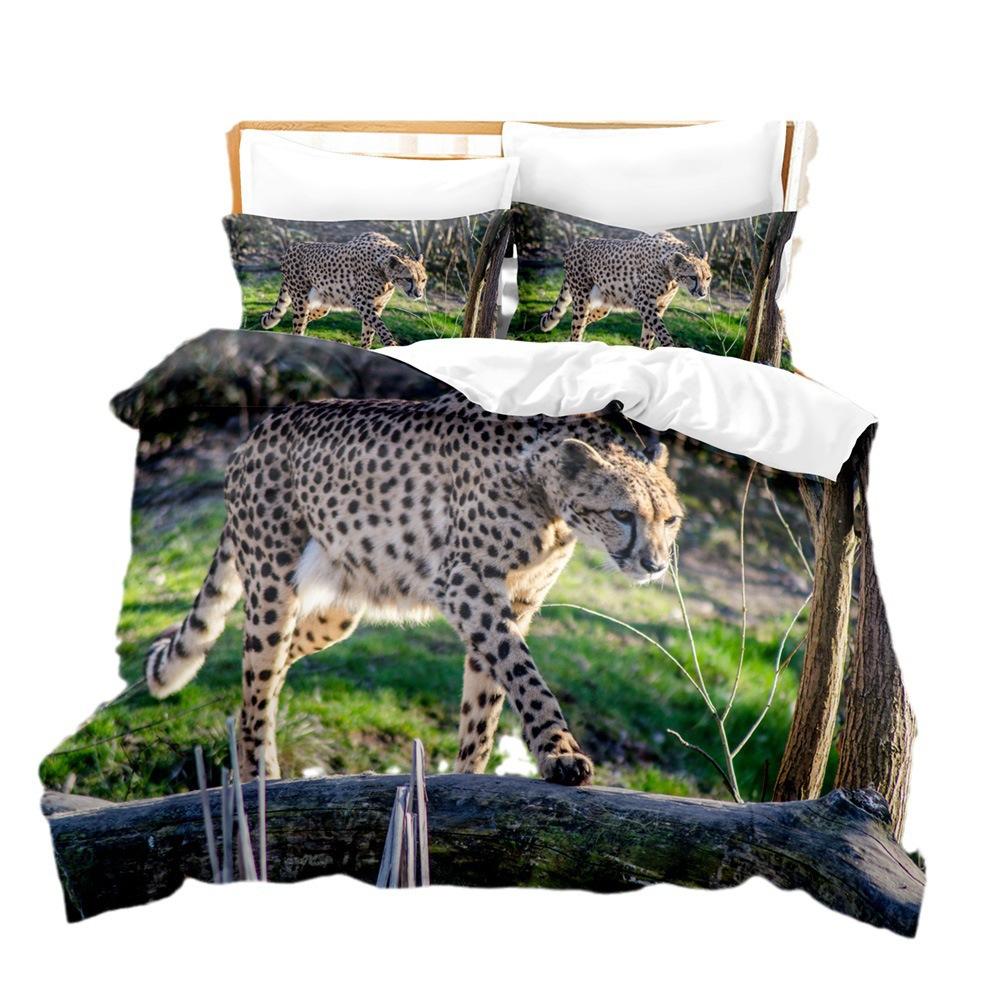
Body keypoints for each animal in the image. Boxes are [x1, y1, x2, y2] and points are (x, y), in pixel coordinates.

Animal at [145, 392, 684, 786]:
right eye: (622, 515)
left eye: (671, 520)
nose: (654, 564)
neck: (548, 494)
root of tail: (258, 430)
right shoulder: (464, 584)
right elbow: (522, 673)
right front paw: (561, 755)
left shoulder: (515, 600)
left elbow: (486, 701)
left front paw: (470, 776)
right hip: (273, 586)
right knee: (259, 679)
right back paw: (261, 778)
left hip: (341, 607)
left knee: (274, 669)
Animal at [260, 232, 427, 347]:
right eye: (408, 279)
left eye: (423, 280)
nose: (418, 294)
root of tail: (293, 246)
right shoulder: (361, 300)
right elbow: (380, 325)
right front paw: (391, 345)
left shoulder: (377, 305)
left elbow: (369, 331)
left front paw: (366, 350)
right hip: (301, 300)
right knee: (299, 324)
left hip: (323, 305)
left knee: (306, 318)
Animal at [539, 231, 711, 349]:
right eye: (693, 277)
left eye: (708, 278)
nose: (702, 294)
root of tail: (575, 243)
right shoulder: (643, 301)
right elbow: (660, 329)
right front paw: (670, 348)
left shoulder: (659, 306)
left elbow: (649, 334)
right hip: (582, 298)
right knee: (577, 327)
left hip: (603, 306)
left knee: (584, 322)